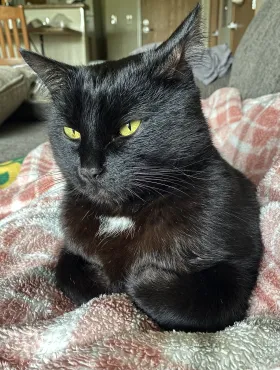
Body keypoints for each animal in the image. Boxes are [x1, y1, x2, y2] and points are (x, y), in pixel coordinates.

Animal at [21, 4, 262, 330]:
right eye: (72, 132)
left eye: (128, 128)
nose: (89, 169)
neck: (123, 214)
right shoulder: (71, 248)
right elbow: (65, 272)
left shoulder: (237, 266)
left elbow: (186, 301)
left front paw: (139, 276)